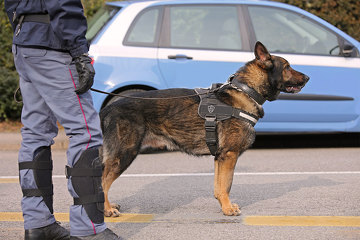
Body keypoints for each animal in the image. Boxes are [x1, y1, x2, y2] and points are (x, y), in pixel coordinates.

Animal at [100, 42, 310, 217]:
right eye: (287, 67)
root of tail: (108, 108)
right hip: (125, 154)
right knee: (103, 181)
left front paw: (224, 205)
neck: (246, 91)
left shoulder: (220, 157)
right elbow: (227, 185)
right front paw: (228, 209)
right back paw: (107, 209)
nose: (308, 77)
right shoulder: (229, 155)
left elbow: (219, 187)